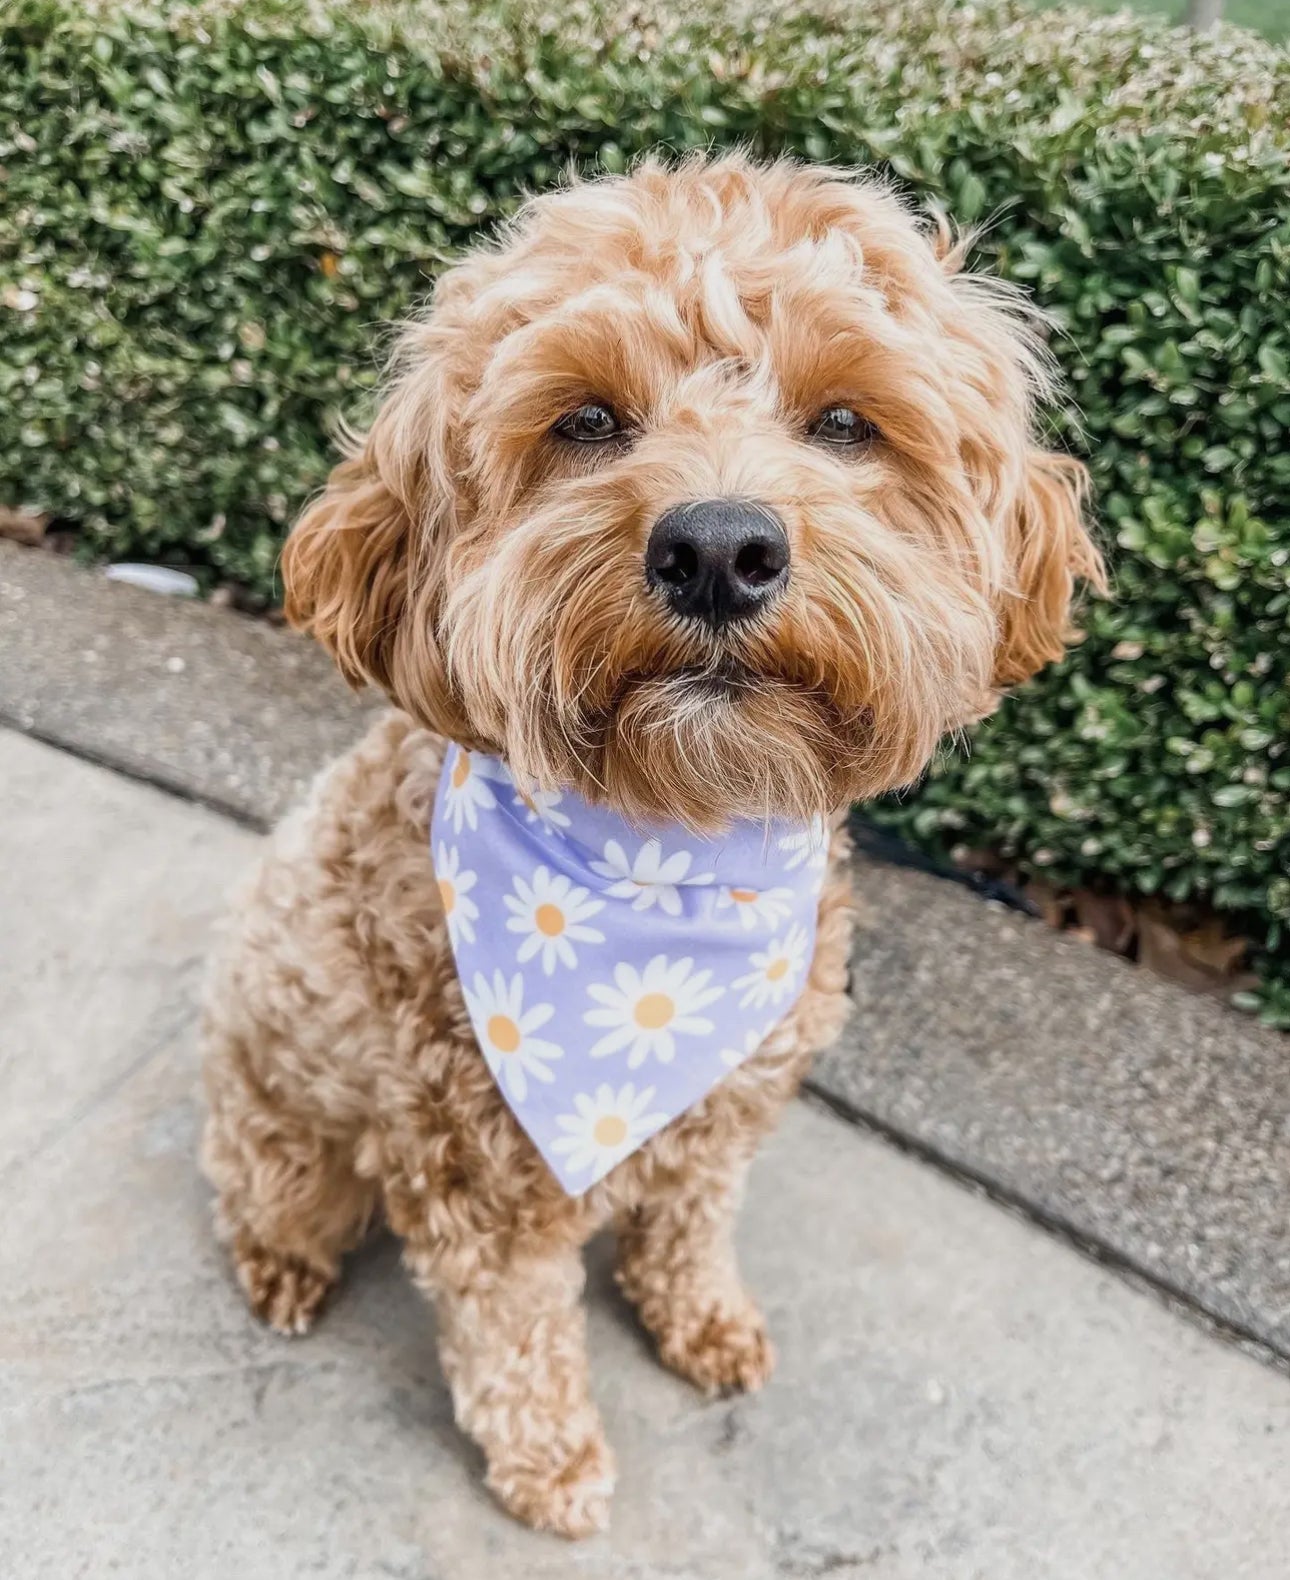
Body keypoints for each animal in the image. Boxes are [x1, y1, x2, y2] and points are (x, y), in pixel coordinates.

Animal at [196, 154, 1106, 1535]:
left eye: (846, 422)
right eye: (585, 420)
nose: (719, 549)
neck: (668, 858)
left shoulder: (722, 1112)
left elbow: (689, 1222)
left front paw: (704, 1319)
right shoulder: (484, 1185)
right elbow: (517, 1336)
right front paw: (553, 1463)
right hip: (286, 1124)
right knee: (273, 1193)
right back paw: (281, 1265)